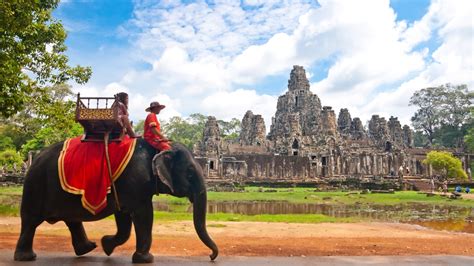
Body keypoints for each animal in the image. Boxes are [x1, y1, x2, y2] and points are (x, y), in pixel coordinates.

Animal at [13, 139, 218, 262]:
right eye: (190, 173)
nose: (211, 256)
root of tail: (35, 157)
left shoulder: (125, 189)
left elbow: (124, 220)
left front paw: (107, 246)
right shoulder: (135, 184)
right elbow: (144, 215)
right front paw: (146, 259)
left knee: (71, 220)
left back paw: (88, 249)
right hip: (35, 185)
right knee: (30, 221)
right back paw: (26, 257)